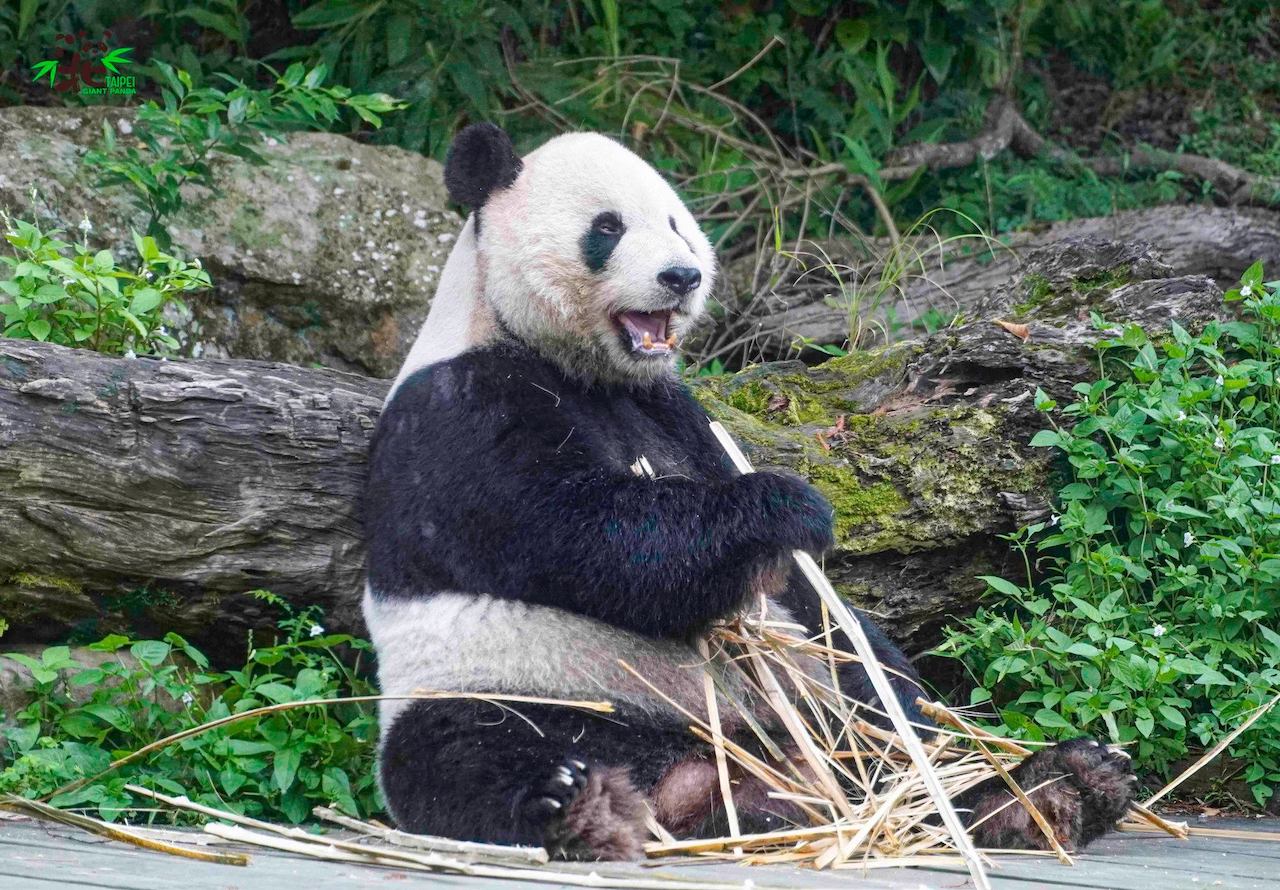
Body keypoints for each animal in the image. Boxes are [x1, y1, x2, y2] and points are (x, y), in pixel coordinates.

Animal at [363, 123, 1136, 860]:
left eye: (675, 223)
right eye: (607, 227)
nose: (681, 276)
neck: (576, 365)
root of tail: (701, 777)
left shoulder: (673, 409)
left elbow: (815, 605)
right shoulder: (462, 412)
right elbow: (584, 534)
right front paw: (786, 508)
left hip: (811, 706)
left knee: (880, 704)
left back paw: (1054, 790)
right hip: (517, 687)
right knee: (464, 751)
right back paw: (575, 804)